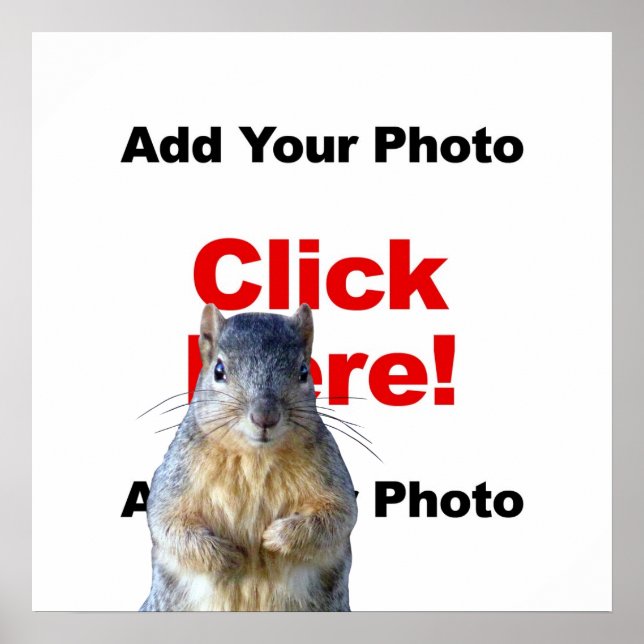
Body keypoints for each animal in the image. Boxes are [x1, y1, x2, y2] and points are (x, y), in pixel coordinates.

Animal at [140, 304, 358, 611]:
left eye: (304, 371)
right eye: (219, 370)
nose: (265, 416)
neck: (255, 457)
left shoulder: (332, 476)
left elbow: (338, 517)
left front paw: (274, 537)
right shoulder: (175, 480)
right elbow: (168, 523)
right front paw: (227, 555)